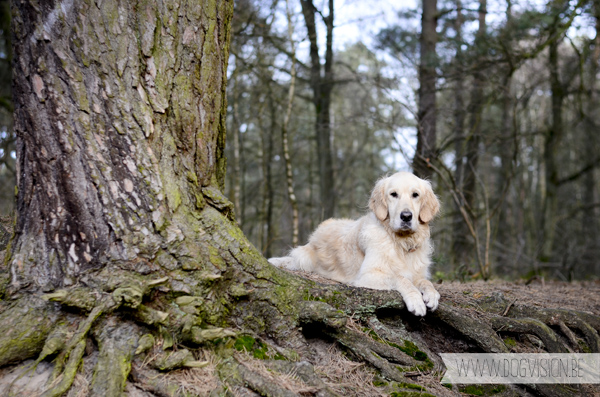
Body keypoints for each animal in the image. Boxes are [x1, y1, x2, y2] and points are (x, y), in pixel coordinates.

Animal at [268, 172, 440, 314]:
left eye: (415, 195)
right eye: (393, 194)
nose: (406, 216)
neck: (401, 243)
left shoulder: (418, 273)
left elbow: (426, 282)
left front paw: (432, 295)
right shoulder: (368, 275)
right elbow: (400, 278)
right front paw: (416, 299)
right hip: (305, 258)